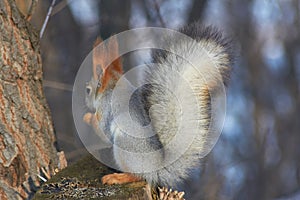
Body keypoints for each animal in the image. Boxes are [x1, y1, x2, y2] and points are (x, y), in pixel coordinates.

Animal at [82, 22, 234, 188]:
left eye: (88, 90)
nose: (85, 102)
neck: (112, 86)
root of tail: (157, 168)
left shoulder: (106, 107)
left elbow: (103, 131)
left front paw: (88, 117)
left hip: (125, 143)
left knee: (139, 176)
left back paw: (118, 177)